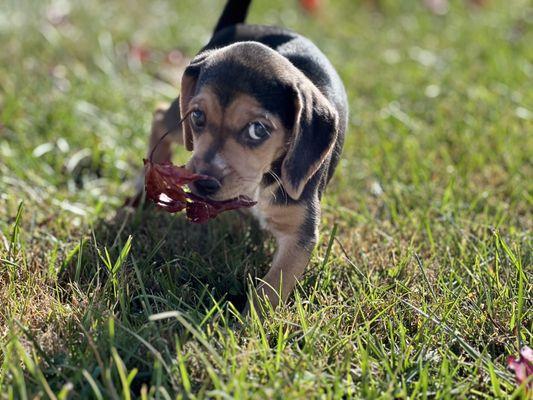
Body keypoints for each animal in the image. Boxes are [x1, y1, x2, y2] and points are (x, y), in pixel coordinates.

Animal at [145, 0, 348, 312]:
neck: (261, 180)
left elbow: (273, 287)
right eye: (198, 116)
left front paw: (251, 321)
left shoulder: (299, 234)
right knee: (158, 117)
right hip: (178, 121)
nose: (203, 184)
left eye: (258, 130)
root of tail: (238, 26)